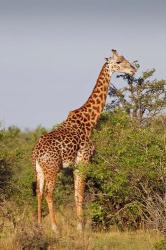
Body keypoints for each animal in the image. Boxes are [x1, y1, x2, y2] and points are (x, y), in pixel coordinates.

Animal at [32, 49, 136, 232]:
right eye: (118, 61)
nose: (133, 69)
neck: (90, 120)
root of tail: (37, 153)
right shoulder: (84, 159)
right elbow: (80, 193)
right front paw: (80, 227)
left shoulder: (75, 164)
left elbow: (76, 193)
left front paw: (79, 224)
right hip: (52, 168)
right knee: (49, 193)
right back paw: (55, 227)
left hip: (39, 169)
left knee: (39, 192)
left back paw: (39, 225)